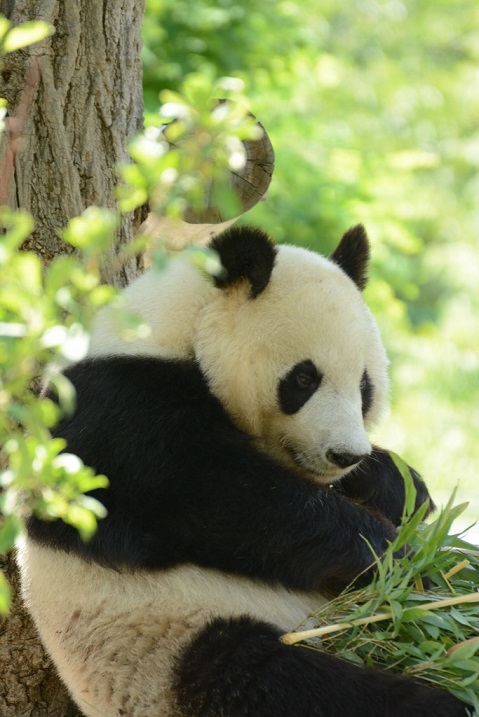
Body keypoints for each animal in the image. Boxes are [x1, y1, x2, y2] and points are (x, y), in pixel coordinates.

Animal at [16, 227, 466, 716]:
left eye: (364, 386)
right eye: (304, 379)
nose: (345, 454)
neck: (171, 326)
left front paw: (402, 488)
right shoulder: (114, 413)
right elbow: (223, 499)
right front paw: (391, 555)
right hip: (171, 642)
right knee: (277, 679)